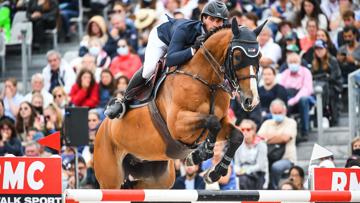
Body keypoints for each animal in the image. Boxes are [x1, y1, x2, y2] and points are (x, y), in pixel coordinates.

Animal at [94, 19, 266, 189]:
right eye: (237, 56)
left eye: (259, 56)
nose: (252, 100)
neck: (208, 82)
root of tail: (101, 129)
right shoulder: (177, 124)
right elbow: (212, 122)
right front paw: (201, 154)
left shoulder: (221, 121)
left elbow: (237, 136)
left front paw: (214, 173)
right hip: (110, 179)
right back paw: (117, 107)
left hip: (158, 178)